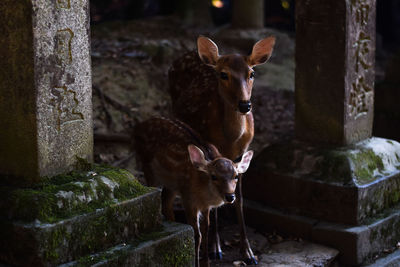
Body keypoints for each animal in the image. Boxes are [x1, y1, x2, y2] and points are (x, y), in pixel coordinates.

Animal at [134, 118, 253, 267]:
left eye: (236, 176)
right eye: (214, 176)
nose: (230, 196)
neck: (202, 192)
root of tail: (138, 127)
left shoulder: (205, 206)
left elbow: (206, 230)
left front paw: (206, 262)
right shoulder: (188, 198)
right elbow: (196, 234)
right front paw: (196, 261)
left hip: (173, 184)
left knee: (166, 201)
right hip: (148, 167)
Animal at [168, 36, 276, 266]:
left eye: (252, 73)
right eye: (223, 74)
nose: (245, 105)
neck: (231, 140)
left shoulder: (241, 153)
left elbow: (240, 200)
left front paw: (248, 253)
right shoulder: (210, 146)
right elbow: (214, 203)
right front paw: (215, 248)